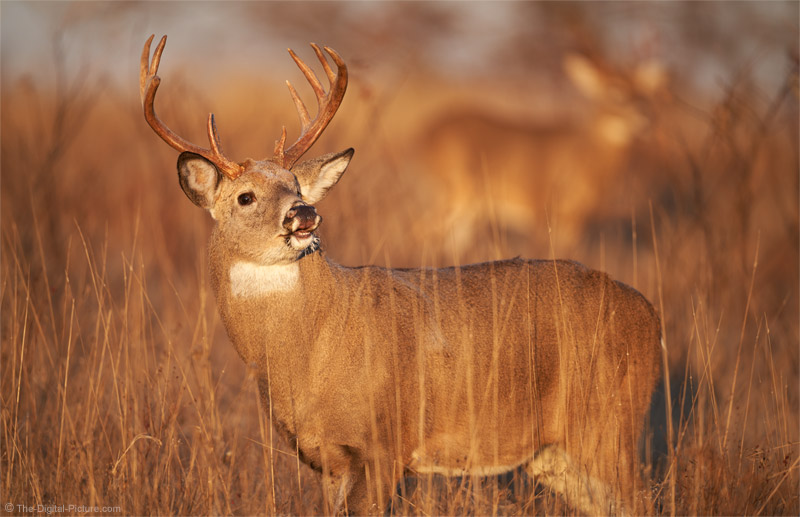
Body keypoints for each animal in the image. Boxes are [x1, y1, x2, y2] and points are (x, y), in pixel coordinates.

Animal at [416, 52, 664, 254]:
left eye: (644, 93)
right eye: (615, 90)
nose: (645, 116)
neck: (585, 156)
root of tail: (427, 133)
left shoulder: (575, 219)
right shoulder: (541, 208)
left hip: (470, 206)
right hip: (458, 192)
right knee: (421, 229)